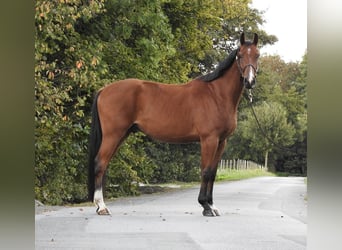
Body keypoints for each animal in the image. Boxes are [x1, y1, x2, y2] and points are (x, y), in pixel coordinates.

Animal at [88, 32, 260, 216]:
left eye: (257, 55)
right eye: (240, 55)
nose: (249, 81)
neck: (216, 94)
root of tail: (104, 90)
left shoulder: (222, 141)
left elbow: (213, 173)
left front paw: (212, 206)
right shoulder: (209, 139)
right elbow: (205, 171)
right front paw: (205, 206)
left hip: (121, 135)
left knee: (104, 164)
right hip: (113, 135)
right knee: (99, 163)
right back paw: (102, 206)